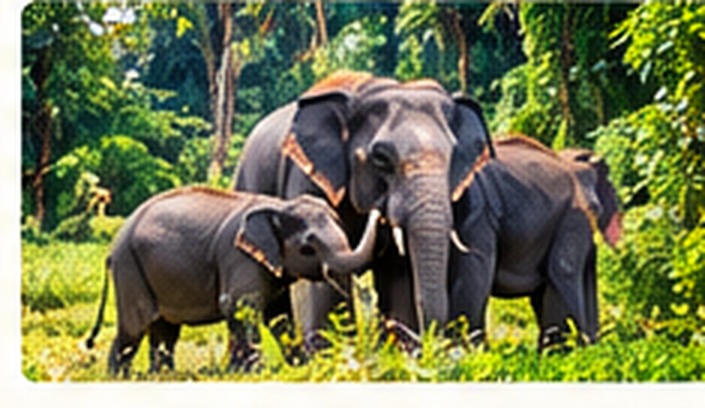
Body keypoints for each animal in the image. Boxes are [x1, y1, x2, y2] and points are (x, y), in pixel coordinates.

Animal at [84, 186, 380, 376]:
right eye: (307, 249)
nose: (378, 211)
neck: (278, 206)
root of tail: (113, 246)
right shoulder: (238, 256)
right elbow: (238, 306)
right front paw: (254, 372)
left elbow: (278, 315)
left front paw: (297, 365)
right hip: (129, 267)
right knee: (134, 328)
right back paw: (118, 377)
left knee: (166, 331)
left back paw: (162, 375)